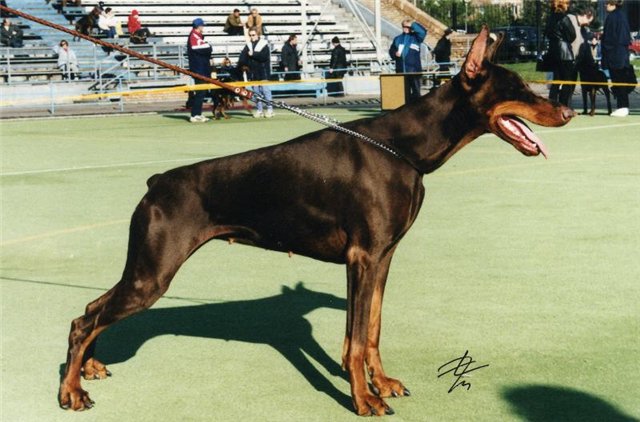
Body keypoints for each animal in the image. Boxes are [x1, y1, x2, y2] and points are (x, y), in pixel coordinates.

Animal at [60, 28, 576, 418]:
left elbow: (371, 331)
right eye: (518, 89)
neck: (405, 148)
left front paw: (381, 383)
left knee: (90, 309)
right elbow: (354, 341)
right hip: (153, 272)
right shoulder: (362, 257)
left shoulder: (383, 257)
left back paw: (89, 369)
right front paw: (364, 399)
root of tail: (157, 182)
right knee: (85, 320)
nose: (569, 110)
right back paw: (71, 391)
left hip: (145, 268)